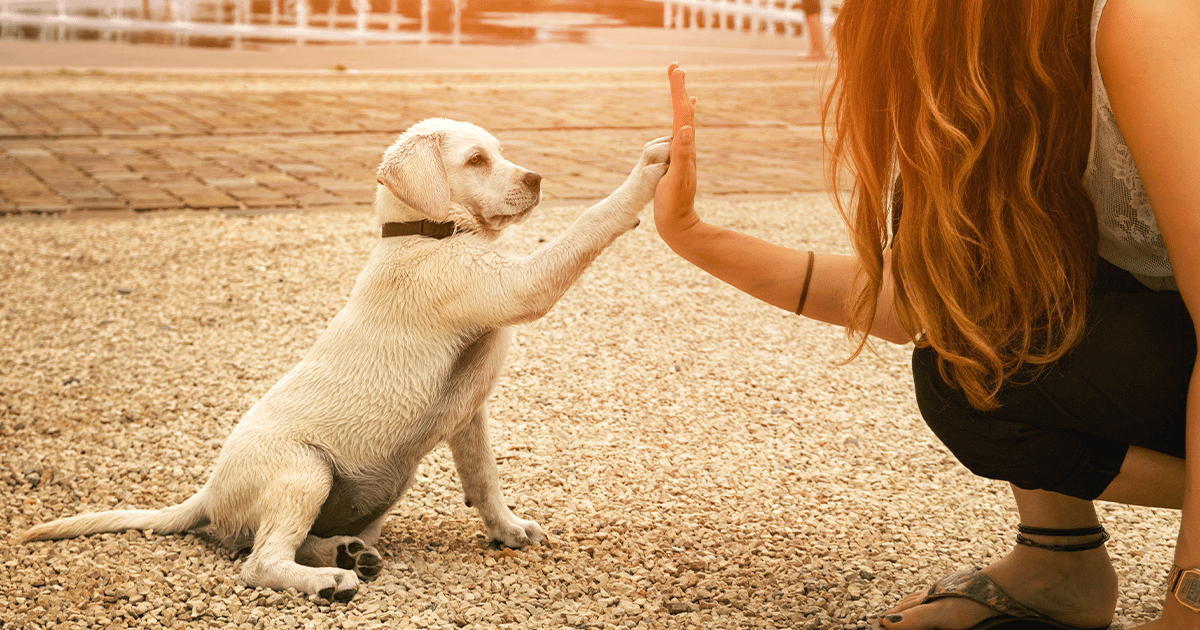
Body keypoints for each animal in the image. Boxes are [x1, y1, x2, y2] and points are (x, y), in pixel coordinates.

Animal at [18, 115, 672, 602]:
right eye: (475, 161)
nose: (536, 179)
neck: (427, 233)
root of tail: (207, 493)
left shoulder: (470, 414)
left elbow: (483, 478)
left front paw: (507, 529)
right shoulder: (518, 287)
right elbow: (589, 223)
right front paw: (648, 172)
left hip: (379, 489)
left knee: (278, 542)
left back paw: (347, 554)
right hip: (304, 470)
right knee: (258, 562)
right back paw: (328, 578)